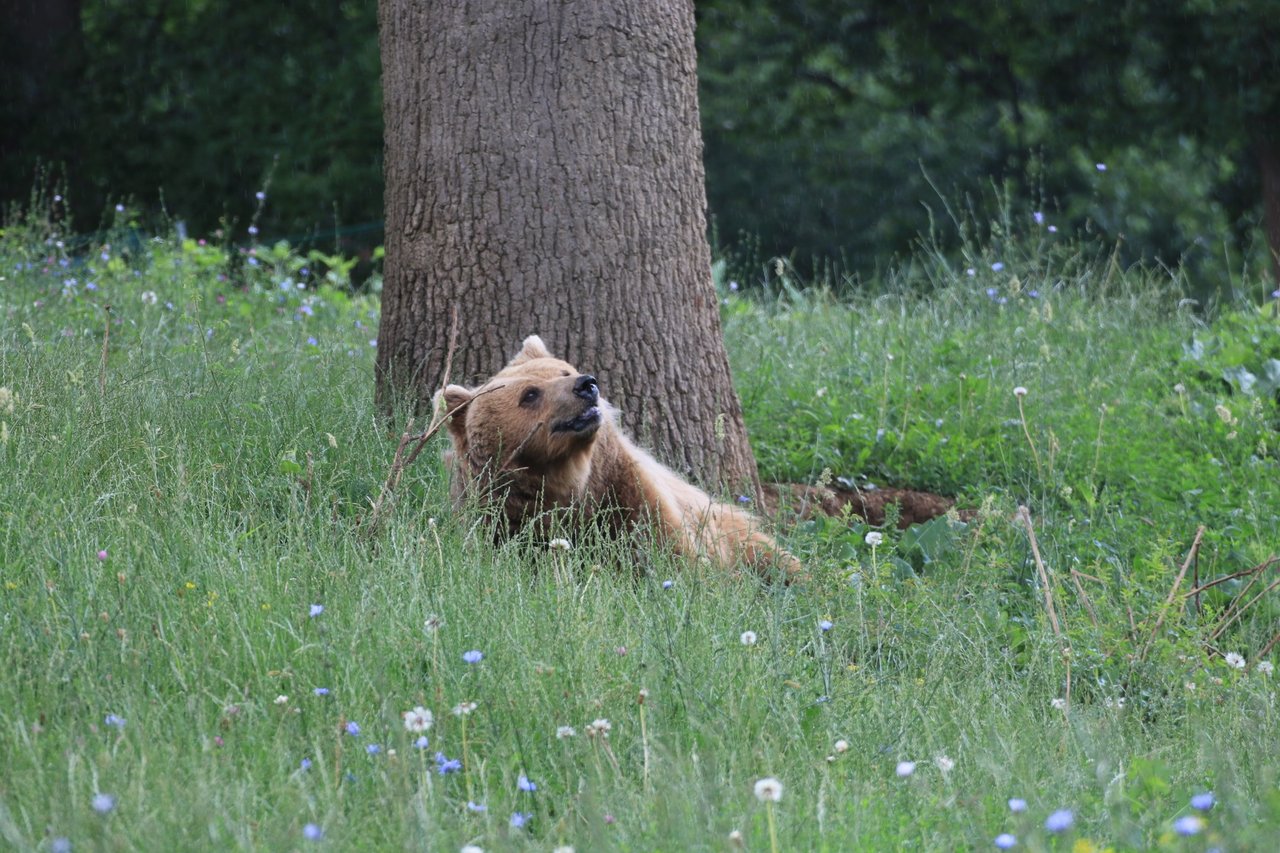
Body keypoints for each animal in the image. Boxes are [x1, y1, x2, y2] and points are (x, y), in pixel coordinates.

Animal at [440, 333, 798, 578]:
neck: (569, 479)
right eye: (529, 394)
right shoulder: (503, 519)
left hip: (732, 530)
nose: (586, 384)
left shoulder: (622, 491)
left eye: (562, 370)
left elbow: (670, 553)